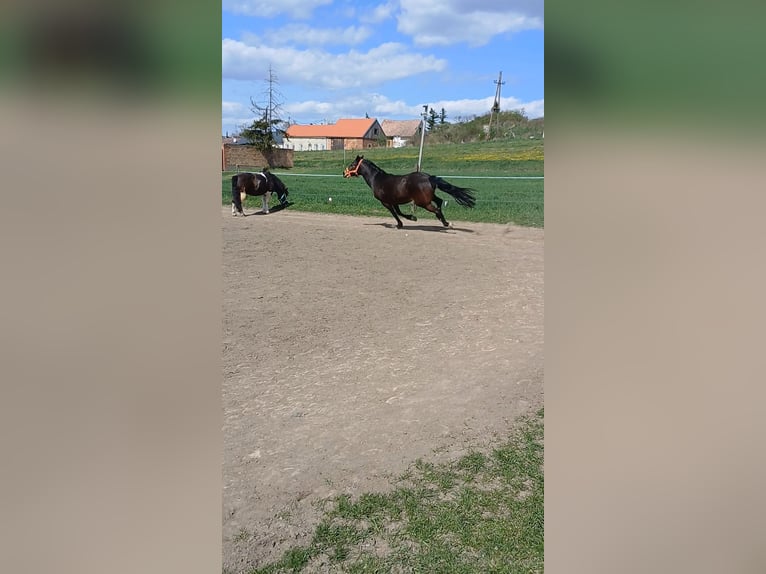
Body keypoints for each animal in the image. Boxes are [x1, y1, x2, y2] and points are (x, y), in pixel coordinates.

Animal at [343, 155, 476, 229]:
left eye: (352, 164)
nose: (344, 173)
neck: (377, 179)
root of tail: (429, 177)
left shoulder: (385, 202)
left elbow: (395, 213)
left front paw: (403, 222)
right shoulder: (394, 201)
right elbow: (398, 212)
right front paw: (410, 218)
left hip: (422, 202)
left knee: (437, 209)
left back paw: (446, 223)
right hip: (429, 198)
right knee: (440, 202)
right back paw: (443, 221)